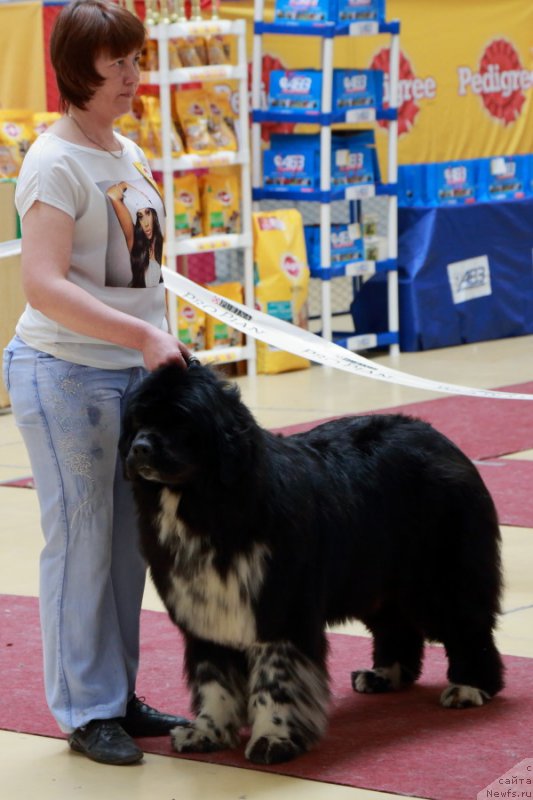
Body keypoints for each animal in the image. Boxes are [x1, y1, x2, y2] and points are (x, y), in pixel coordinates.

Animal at [120, 360, 502, 764]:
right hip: (376, 579)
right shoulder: (207, 616)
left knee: (468, 625)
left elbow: (276, 681)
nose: (140, 447)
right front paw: (208, 731)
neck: (208, 508)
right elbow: (215, 680)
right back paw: (384, 675)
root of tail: (441, 439)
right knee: (396, 626)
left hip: (441, 575)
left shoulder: (279, 611)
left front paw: (273, 737)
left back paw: (470, 687)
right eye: (137, 421)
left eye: (179, 421)